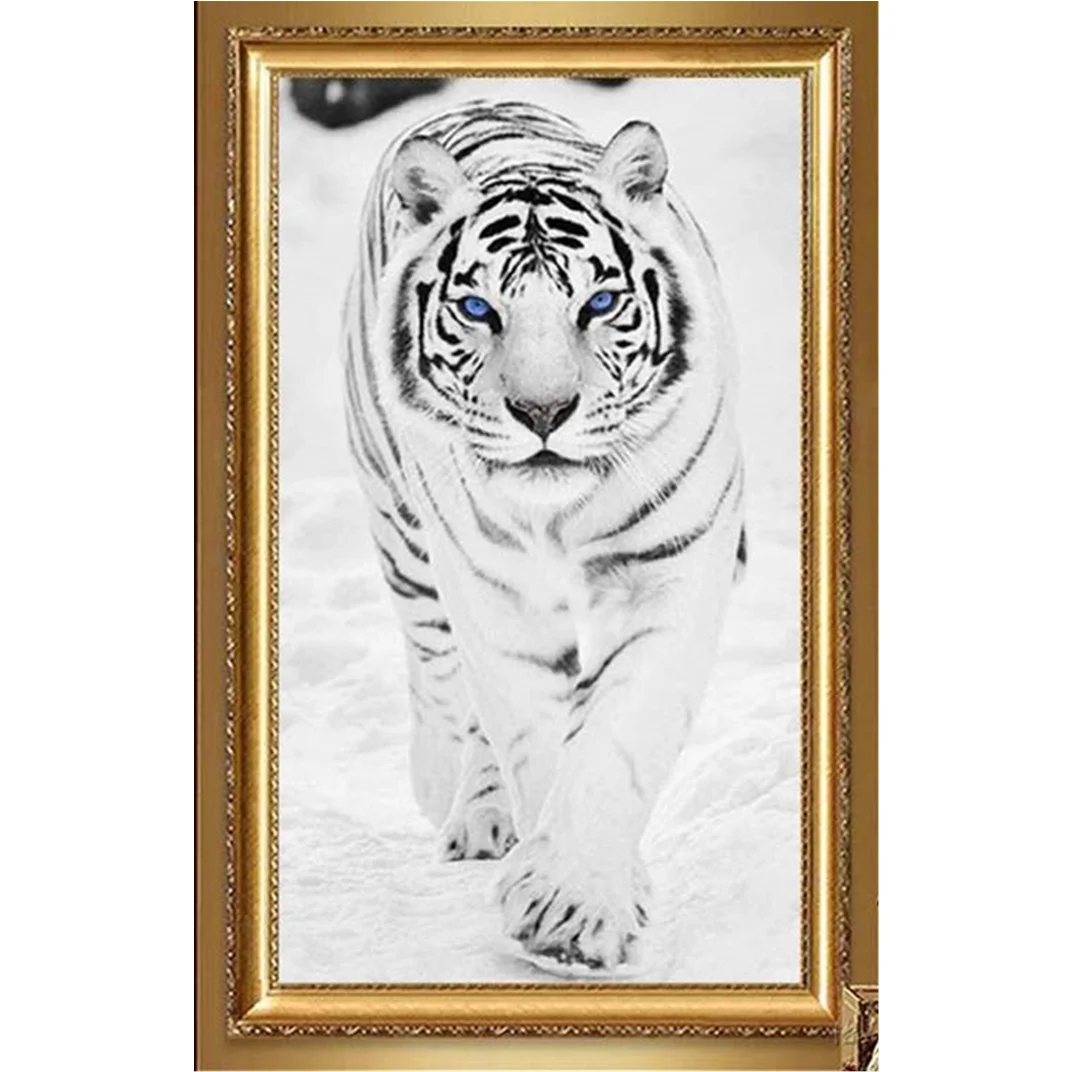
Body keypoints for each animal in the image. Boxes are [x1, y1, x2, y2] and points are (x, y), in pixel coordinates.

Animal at [342, 100, 746, 975]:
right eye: (477, 310)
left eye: (598, 305)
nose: (542, 412)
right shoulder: (494, 594)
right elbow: (529, 729)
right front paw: (568, 898)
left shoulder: (673, 569)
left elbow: (617, 735)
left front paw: (577, 906)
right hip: (402, 529)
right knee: (438, 671)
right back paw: (455, 798)